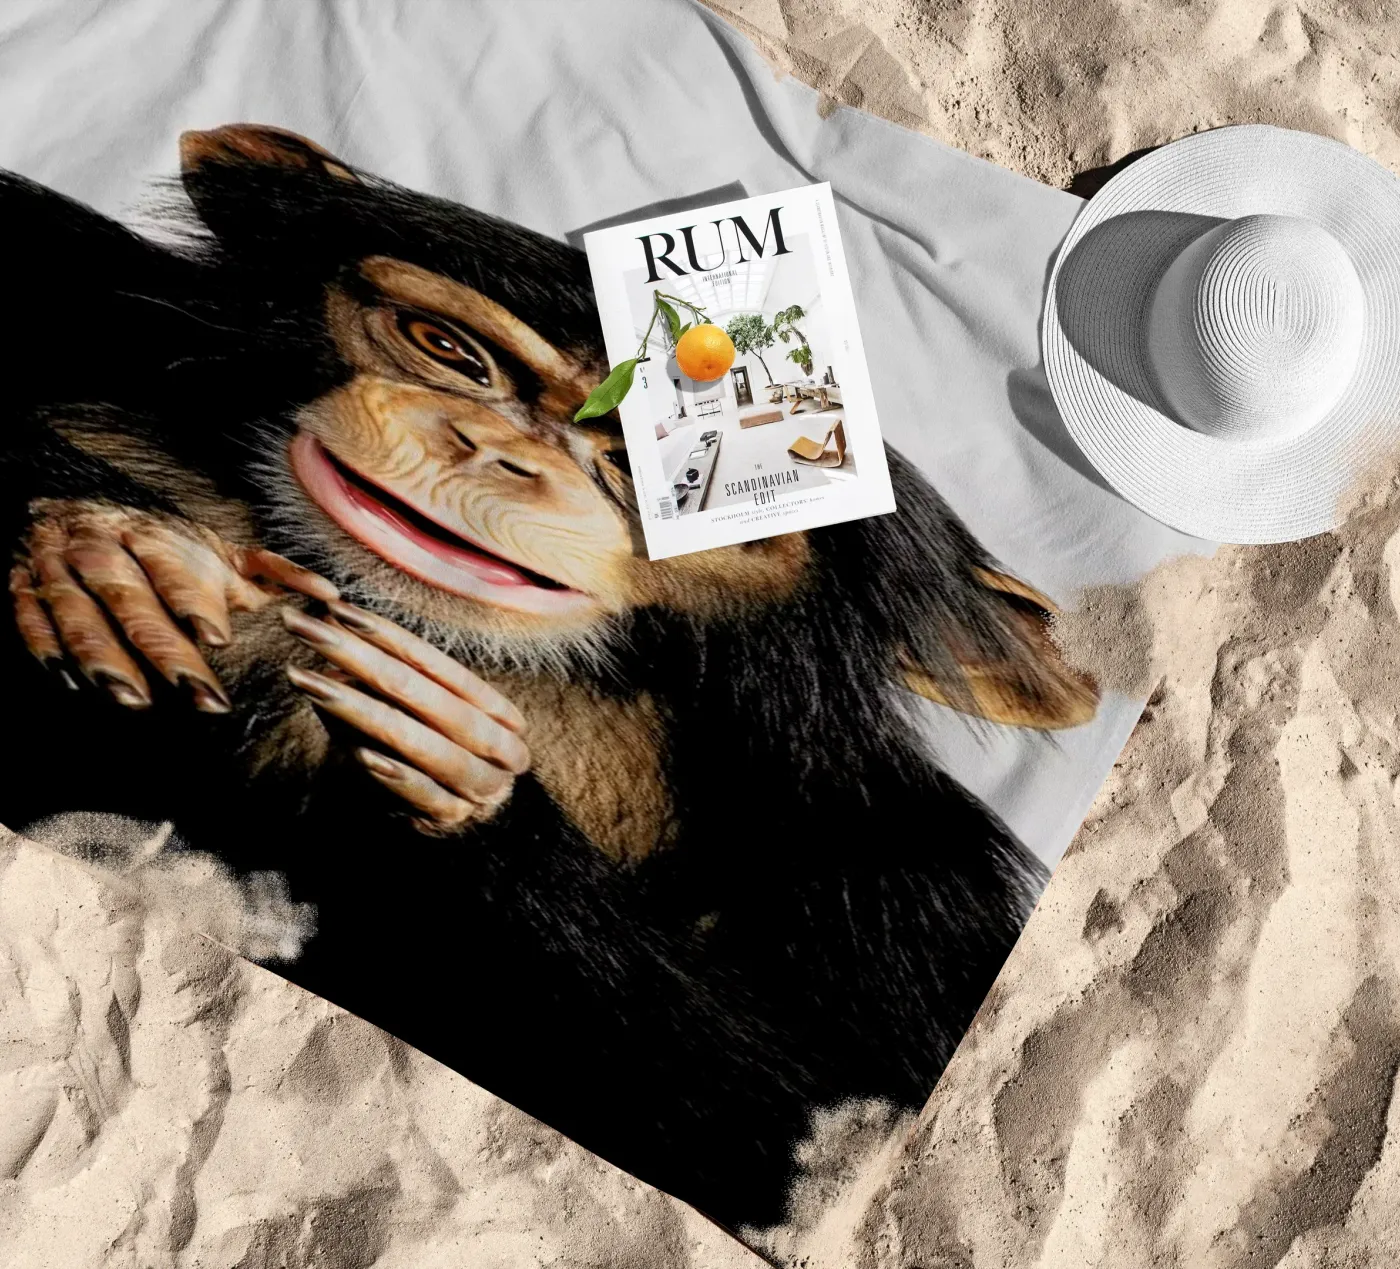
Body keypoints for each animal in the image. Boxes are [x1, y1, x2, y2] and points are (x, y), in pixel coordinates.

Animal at [0, 126, 1097, 1230]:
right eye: (449, 350)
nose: (495, 450)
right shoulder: (76, 268)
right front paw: (102, 547)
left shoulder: (904, 888)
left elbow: (823, 1145)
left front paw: (461, 771)